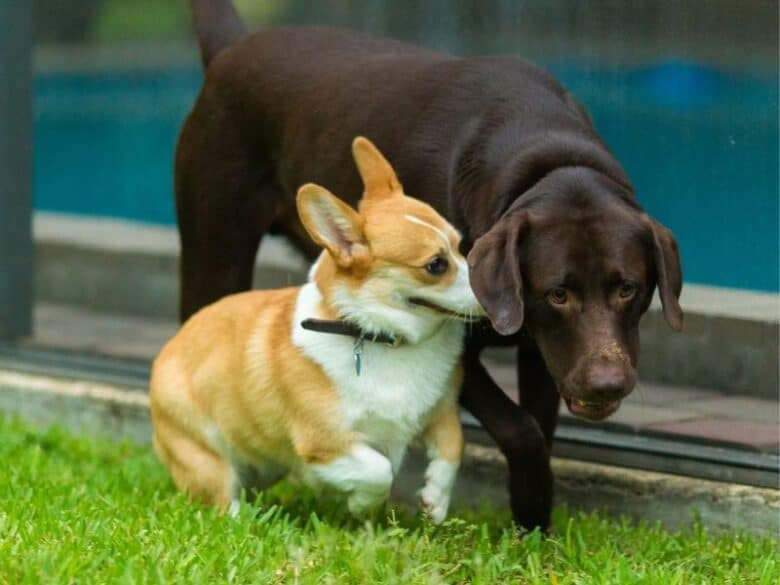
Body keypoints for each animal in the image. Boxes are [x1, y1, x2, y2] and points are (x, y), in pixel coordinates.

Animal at [149, 139, 484, 524]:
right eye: (436, 265)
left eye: (461, 247)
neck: (384, 339)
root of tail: (167, 349)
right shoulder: (326, 443)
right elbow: (379, 470)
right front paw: (362, 506)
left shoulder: (442, 412)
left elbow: (453, 447)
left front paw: (435, 502)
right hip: (204, 457)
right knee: (221, 501)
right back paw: (247, 521)